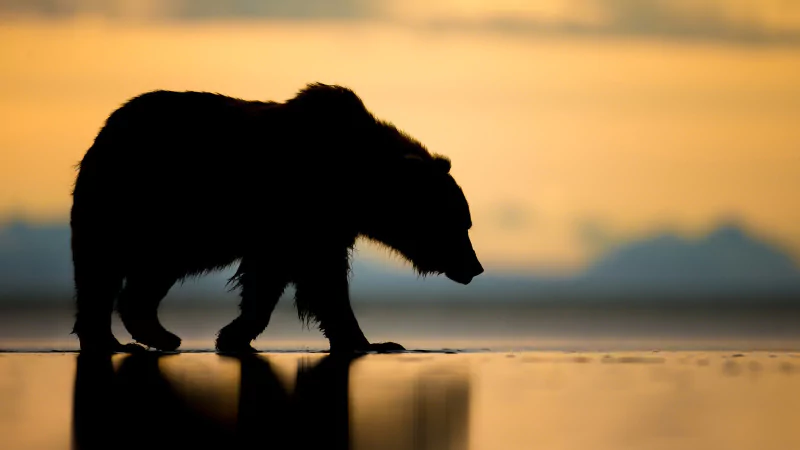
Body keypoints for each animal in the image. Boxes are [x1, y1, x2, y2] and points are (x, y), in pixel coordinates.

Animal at [70, 82, 484, 354]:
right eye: (460, 224)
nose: (475, 267)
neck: (355, 181)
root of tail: (106, 128)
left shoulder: (316, 225)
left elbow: (277, 279)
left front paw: (233, 335)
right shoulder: (298, 212)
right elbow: (319, 280)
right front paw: (374, 342)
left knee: (144, 275)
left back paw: (156, 334)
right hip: (134, 204)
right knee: (101, 269)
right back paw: (114, 340)